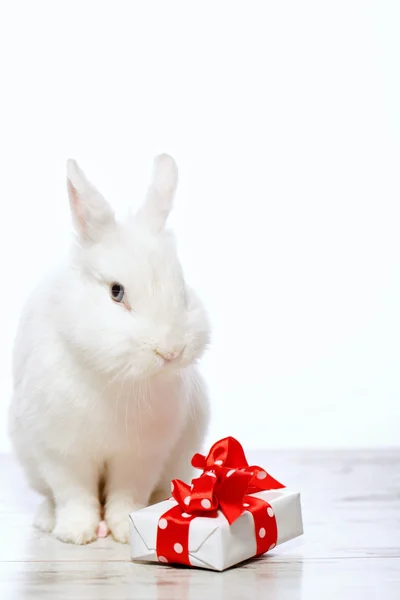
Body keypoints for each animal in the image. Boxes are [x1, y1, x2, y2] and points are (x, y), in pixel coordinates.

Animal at [7, 154, 211, 544]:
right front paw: (77, 533)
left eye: (182, 290)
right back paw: (47, 521)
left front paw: (124, 530)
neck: (116, 380)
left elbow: (126, 494)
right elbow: (75, 495)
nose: (170, 351)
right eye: (117, 292)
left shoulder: (140, 457)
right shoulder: (63, 455)